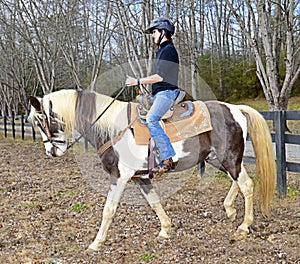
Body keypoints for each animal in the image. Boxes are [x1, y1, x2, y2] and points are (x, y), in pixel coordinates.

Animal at [28, 89, 276, 252]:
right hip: (218, 160)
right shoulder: (140, 178)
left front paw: (96, 243)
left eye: (41, 121)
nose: (51, 151)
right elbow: (154, 202)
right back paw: (230, 209)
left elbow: (109, 209)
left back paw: (244, 225)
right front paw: (165, 229)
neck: (112, 129)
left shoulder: (119, 176)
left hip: (229, 158)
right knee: (239, 180)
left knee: (246, 184)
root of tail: (235, 109)